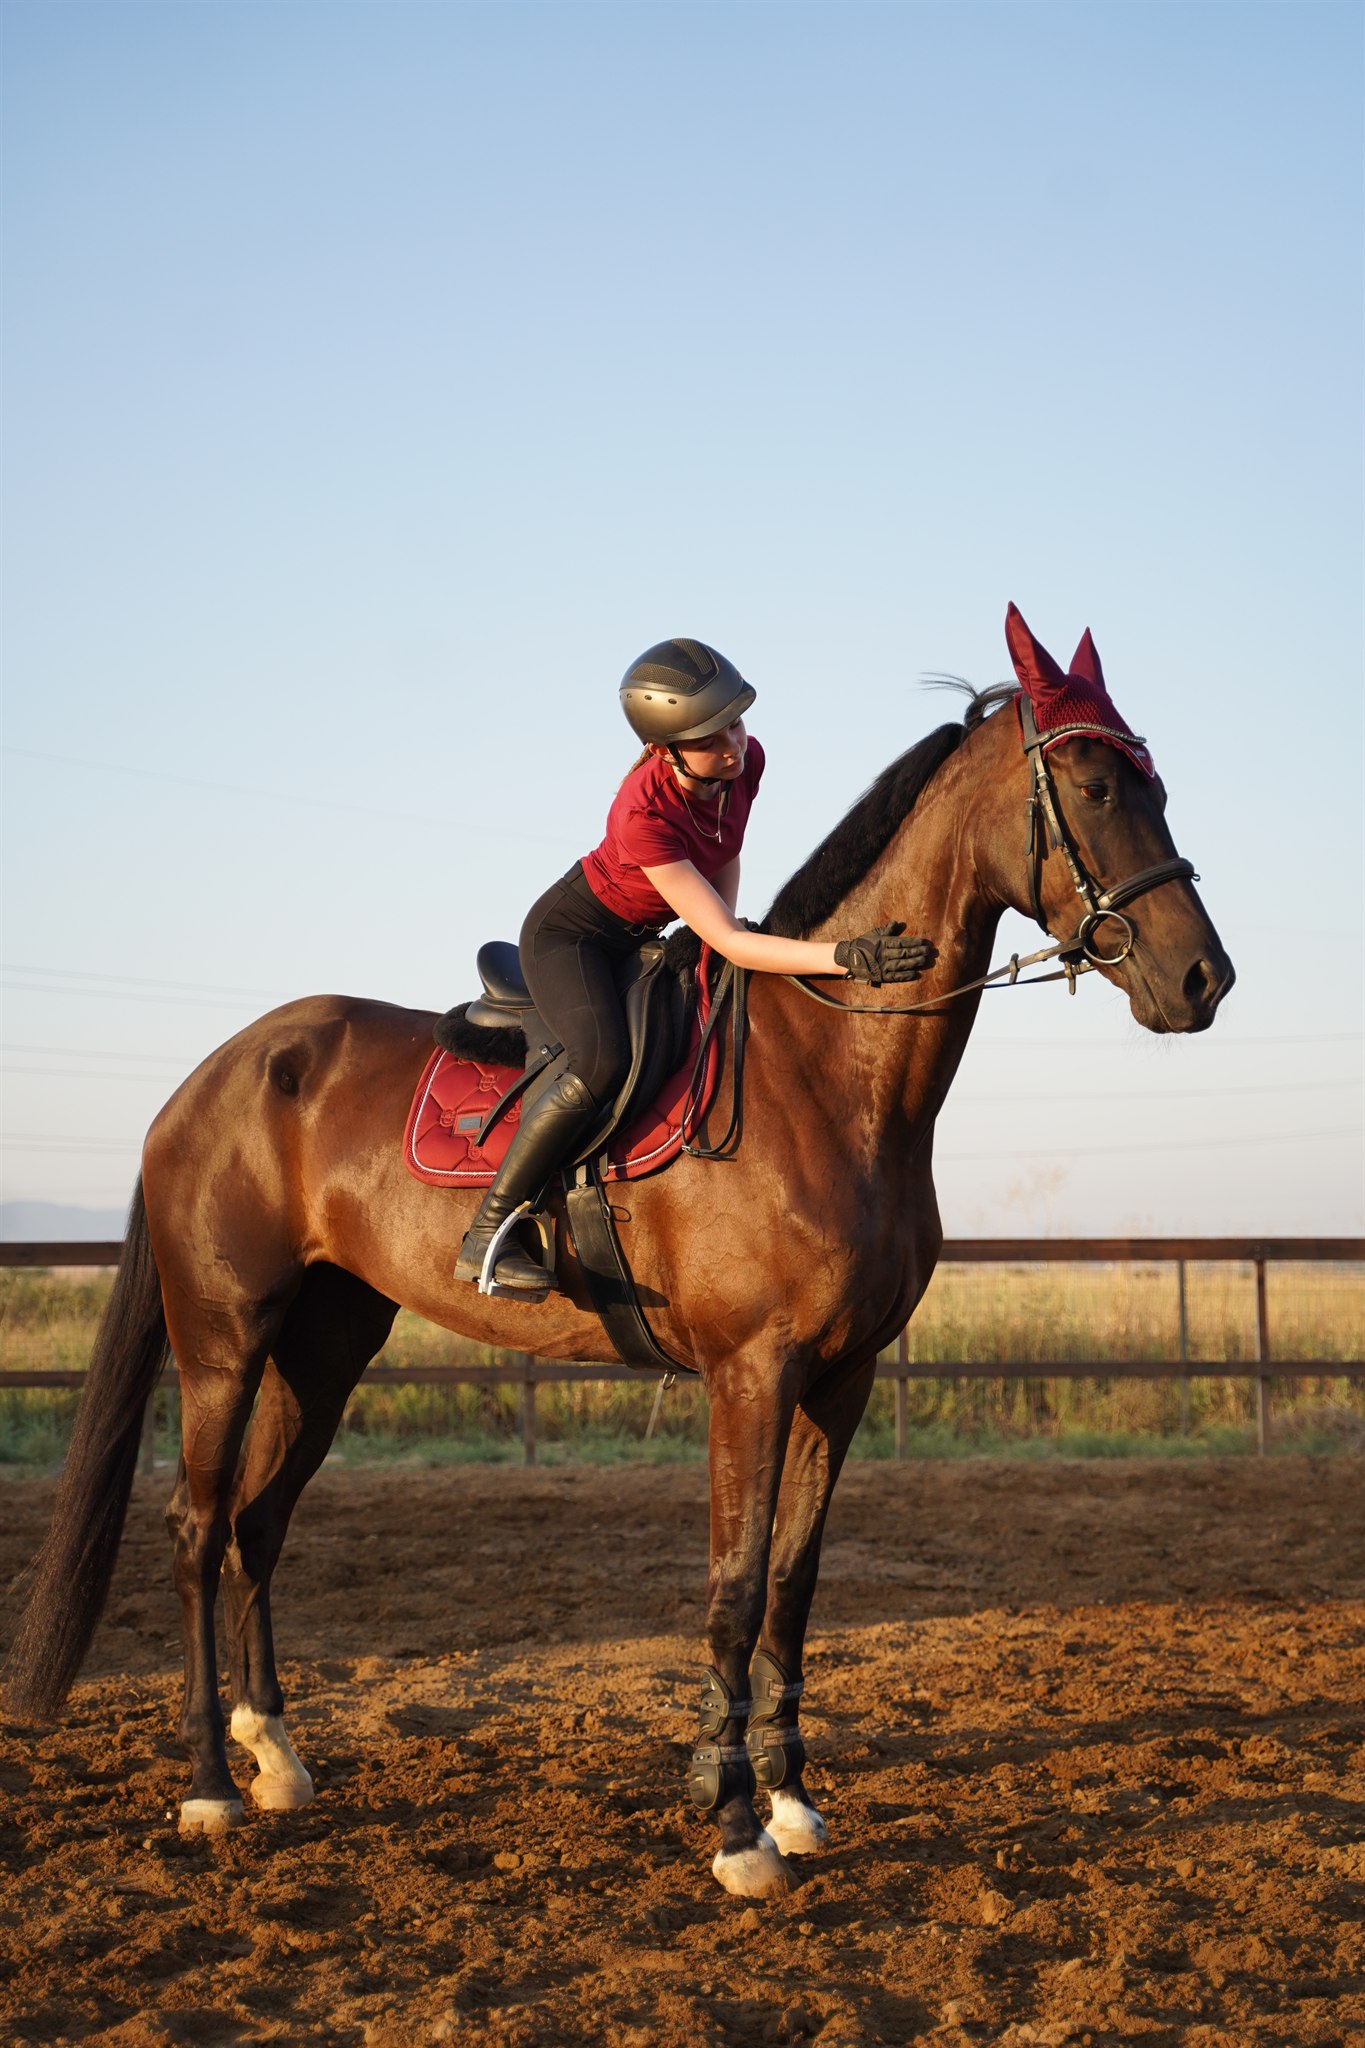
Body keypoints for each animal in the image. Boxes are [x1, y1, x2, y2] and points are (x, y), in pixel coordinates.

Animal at [5, 611, 1233, 1900]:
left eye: (1154, 782)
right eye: (1095, 787)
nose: (1203, 978)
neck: (825, 1075)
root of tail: (215, 1072)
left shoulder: (840, 1379)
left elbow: (792, 1584)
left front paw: (790, 1798)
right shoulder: (753, 1373)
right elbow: (734, 1587)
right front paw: (734, 1823)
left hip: (327, 1344)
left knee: (257, 1523)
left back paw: (276, 1755)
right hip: (223, 1339)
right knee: (198, 1529)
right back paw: (207, 1783)